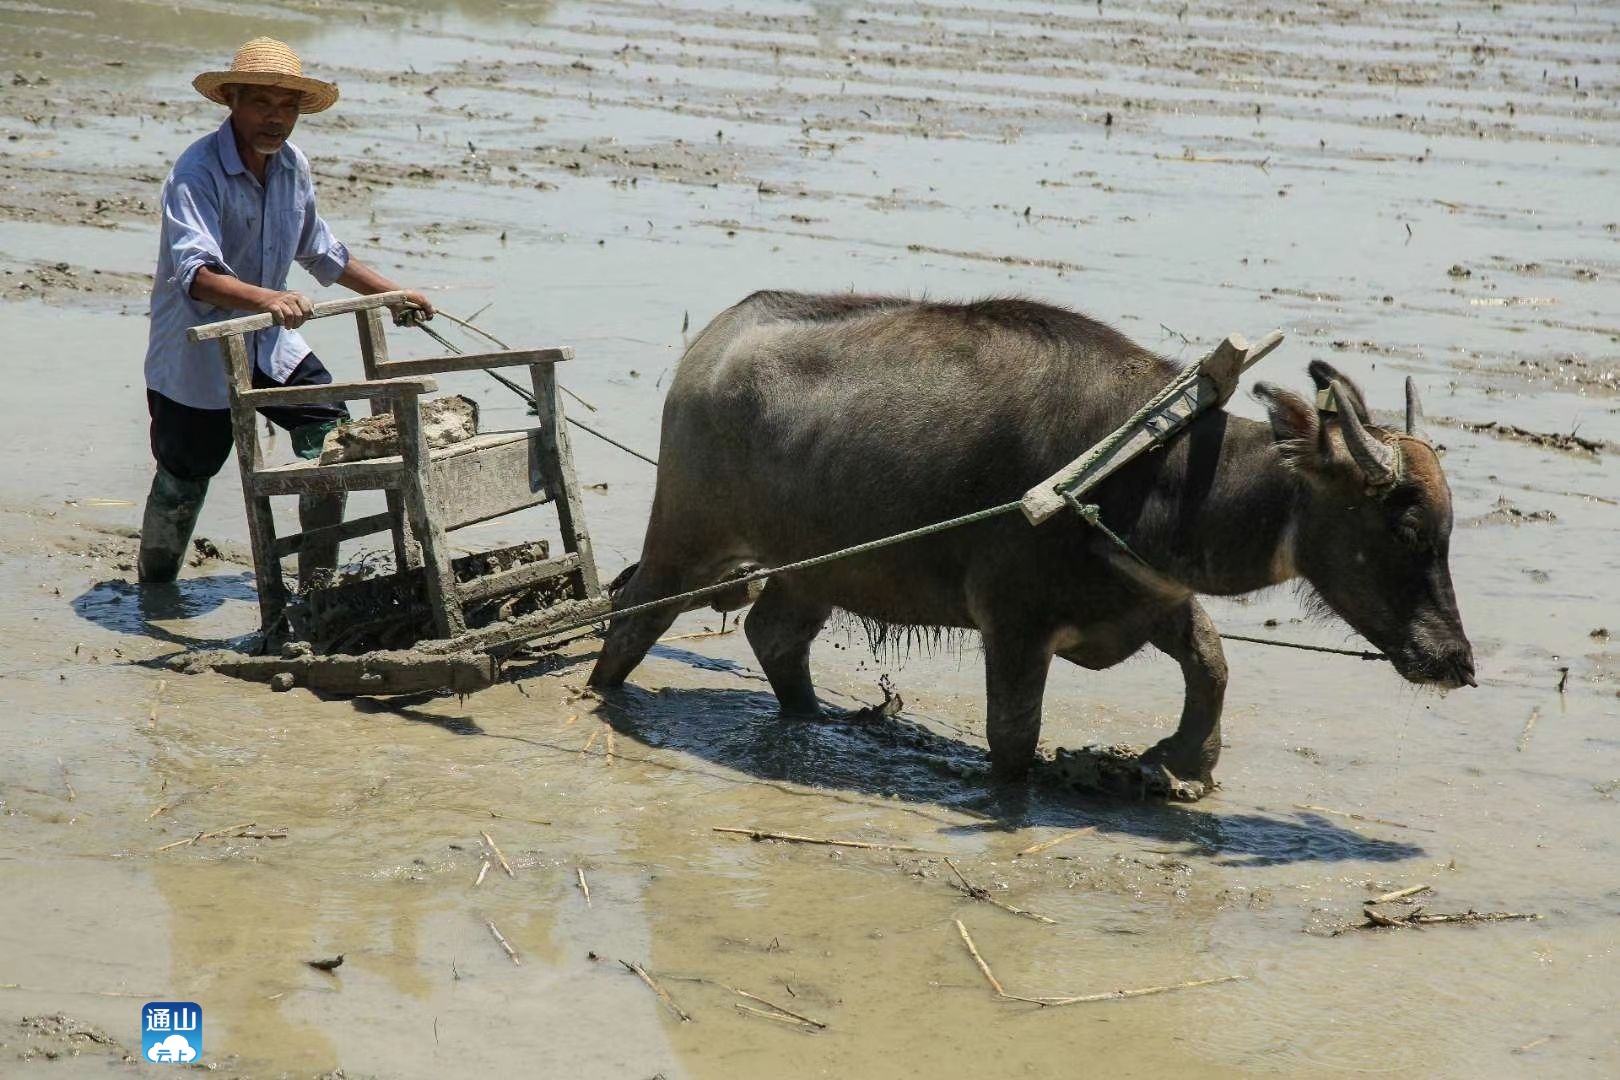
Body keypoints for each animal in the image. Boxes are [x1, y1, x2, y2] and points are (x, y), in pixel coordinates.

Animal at [589, 291, 1477, 790]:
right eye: (1404, 526)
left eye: (1444, 532)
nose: (1455, 660)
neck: (1143, 470)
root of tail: (711, 346)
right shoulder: (1013, 626)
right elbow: (1014, 738)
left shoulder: (1150, 598)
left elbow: (1213, 663)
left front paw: (1185, 762)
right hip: (684, 540)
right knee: (631, 622)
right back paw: (605, 694)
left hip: (814, 571)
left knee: (773, 633)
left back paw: (818, 720)